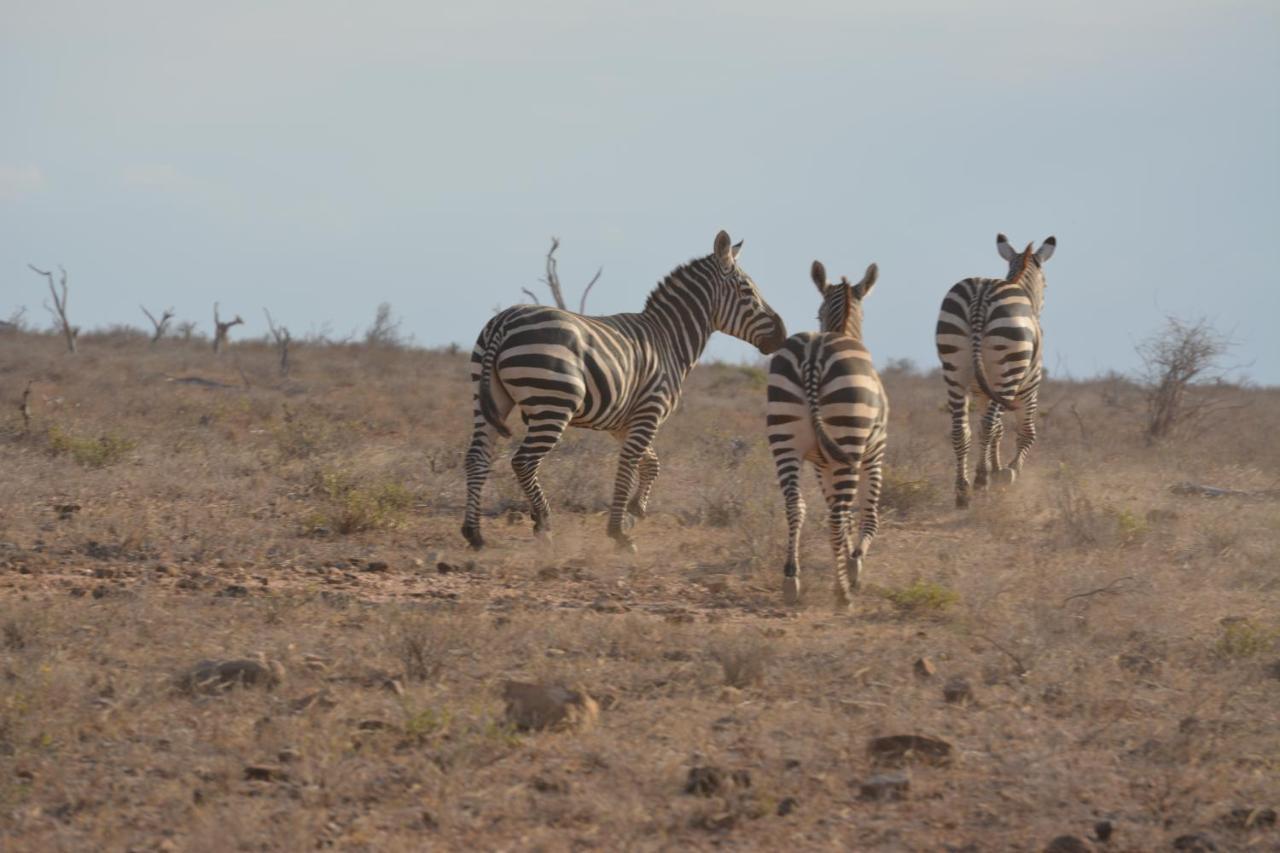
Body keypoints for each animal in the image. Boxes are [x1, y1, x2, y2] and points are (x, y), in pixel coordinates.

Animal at [465, 229, 783, 548]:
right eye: (747, 291)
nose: (782, 334)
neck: (669, 340)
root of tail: (504, 322)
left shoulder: (623, 422)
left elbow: (651, 463)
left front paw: (634, 510)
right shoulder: (649, 412)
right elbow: (629, 465)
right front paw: (619, 532)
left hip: (486, 398)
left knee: (476, 457)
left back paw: (474, 533)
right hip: (552, 404)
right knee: (523, 462)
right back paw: (543, 522)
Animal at [762, 261, 885, 604]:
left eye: (818, 313)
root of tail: (815, 352)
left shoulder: (820, 463)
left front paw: (846, 558)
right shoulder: (875, 453)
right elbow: (868, 514)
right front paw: (854, 566)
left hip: (784, 437)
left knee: (795, 505)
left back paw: (791, 580)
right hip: (849, 442)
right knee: (839, 512)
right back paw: (842, 591)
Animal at [936, 230, 1054, 504]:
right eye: (1046, 284)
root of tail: (981, 296)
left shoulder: (981, 391)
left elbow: (997, 430)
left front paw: (996, 468)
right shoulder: (1031, 387)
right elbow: (1026, 432)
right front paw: (1007, 472)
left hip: (954, 369)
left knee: (961, 429)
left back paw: (962, 490)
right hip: (1009, 372)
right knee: (989, 425)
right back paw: (980, 479)